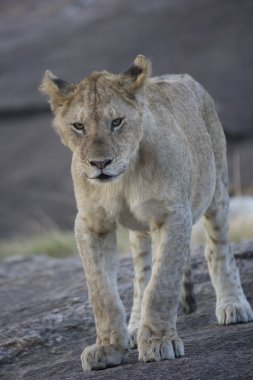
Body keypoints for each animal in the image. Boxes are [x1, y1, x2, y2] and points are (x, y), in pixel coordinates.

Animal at [40, 56, 253, 372]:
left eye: (116, 122)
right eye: (78, 126)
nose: (100, 164)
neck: (123, 180)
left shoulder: (173, 214)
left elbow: (162, 284)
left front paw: (158, 342)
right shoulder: (91, 223)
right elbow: (102, 292)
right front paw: (109, 348)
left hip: (216, 189)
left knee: (218, 250)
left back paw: (233, 305)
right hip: (140, 230)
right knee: (141, 275)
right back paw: (134, 327)